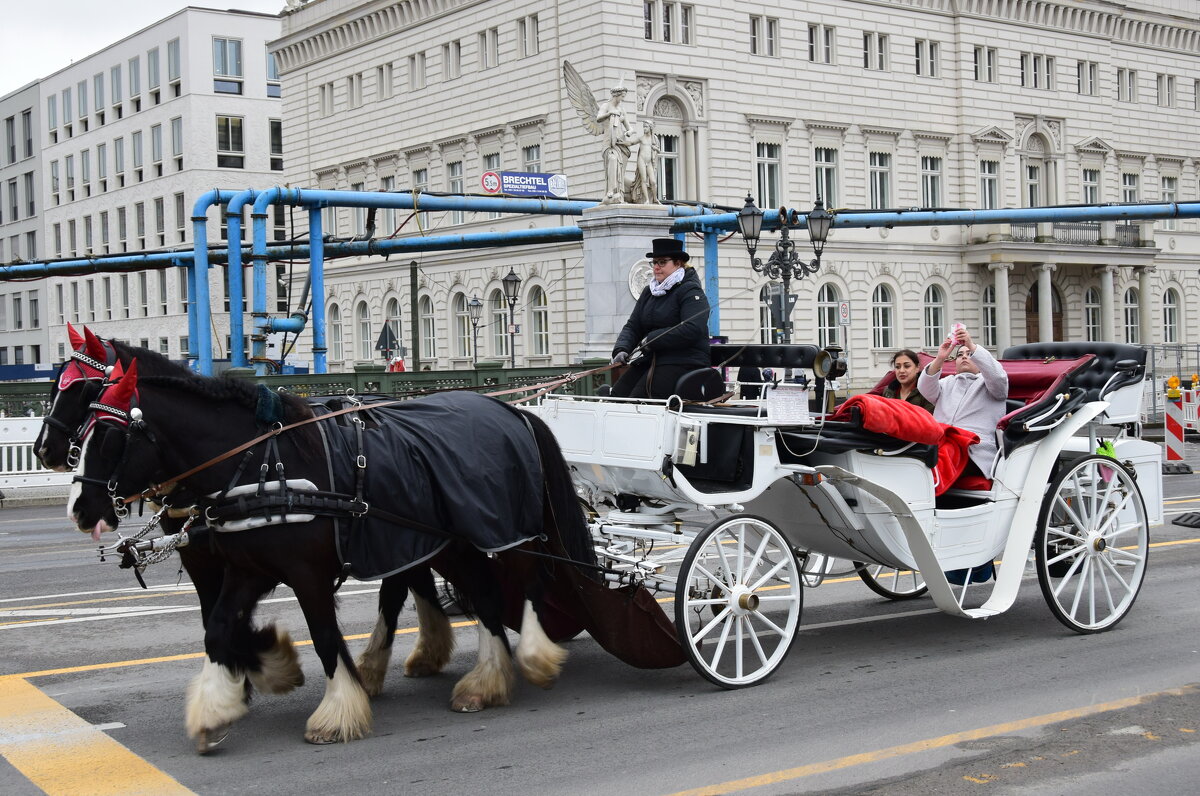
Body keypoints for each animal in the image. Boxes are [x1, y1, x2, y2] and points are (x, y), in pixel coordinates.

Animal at [65, 357, 595, 749]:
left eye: (108, 436)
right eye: (81, 430)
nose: (79, 508)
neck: (260, 465)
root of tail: (513, 413)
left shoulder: (306, 574)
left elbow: (322, 637)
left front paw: (337, 710)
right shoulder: (247, 569)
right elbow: (218, 628)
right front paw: (220, 705)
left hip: (506, 534)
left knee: (525, 583)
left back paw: (530, 657)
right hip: (451, 543)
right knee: (480, 595)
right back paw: (481, 680)